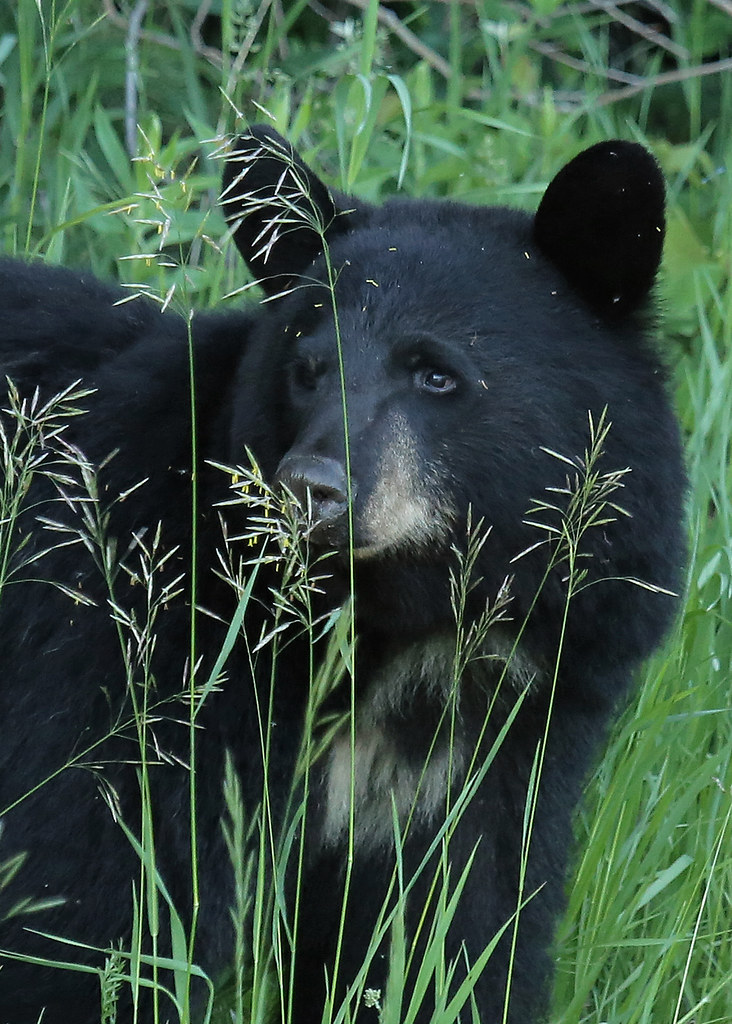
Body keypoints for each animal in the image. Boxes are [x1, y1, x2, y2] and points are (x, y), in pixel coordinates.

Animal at [0, 126, 686, 1024]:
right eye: (308, 368)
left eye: (436, 374)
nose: (306, 489)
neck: (391, 625)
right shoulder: (123, 650)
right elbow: (86, 899)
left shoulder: (501, 743)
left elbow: (450, 931)